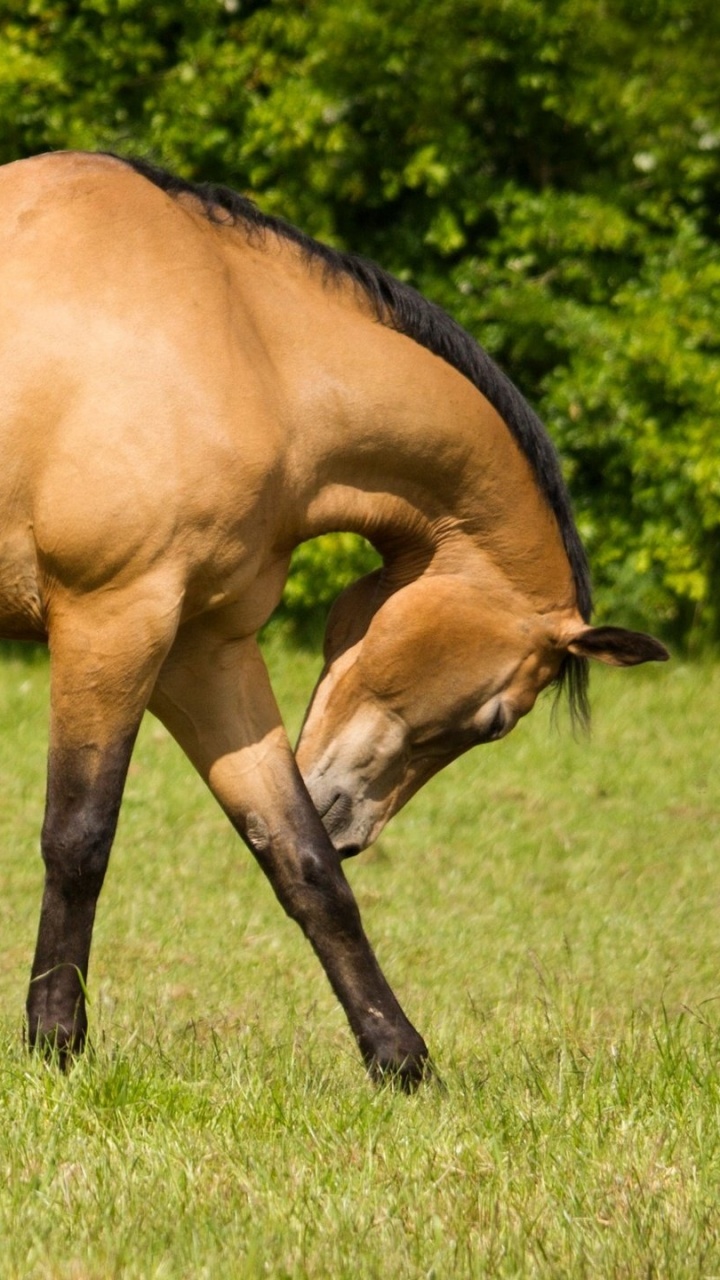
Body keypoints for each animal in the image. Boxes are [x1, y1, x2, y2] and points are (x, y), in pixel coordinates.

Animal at [0, 151, 668, 1087]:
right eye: (496, 720)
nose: (352, 823)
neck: (245, 346)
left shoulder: (204, 650)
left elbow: (298, 858)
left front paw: (400, 1060)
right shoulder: (114, 621)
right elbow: (78, 839)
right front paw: (55, 1044)